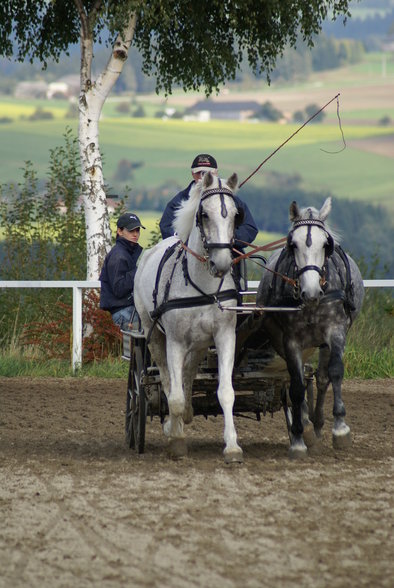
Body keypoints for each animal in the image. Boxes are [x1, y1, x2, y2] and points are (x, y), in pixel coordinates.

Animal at [134, 172, 245, 462]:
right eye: (204, 214)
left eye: (235, 215)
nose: (221, 264)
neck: (202, 284)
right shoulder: (174, 341)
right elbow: (173, 396)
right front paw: (176, 440)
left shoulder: (224, 336)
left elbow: (226, 393)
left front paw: (232, 446)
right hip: (153, 334)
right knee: (167, 380)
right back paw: (173, 426)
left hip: (199, 344)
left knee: (187, 374)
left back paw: (185, 416)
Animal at [258, 199, 364, 460]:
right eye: (292, 244)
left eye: (326, 244)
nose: (312, 292)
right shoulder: (291, 340)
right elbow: (296, 387)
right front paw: (298, 437)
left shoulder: (336, 330)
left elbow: (335, 372)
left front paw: (340, 429)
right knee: (295, 379)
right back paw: (307, 425)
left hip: (324, 341)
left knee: (322, 378)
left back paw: (317, 424)